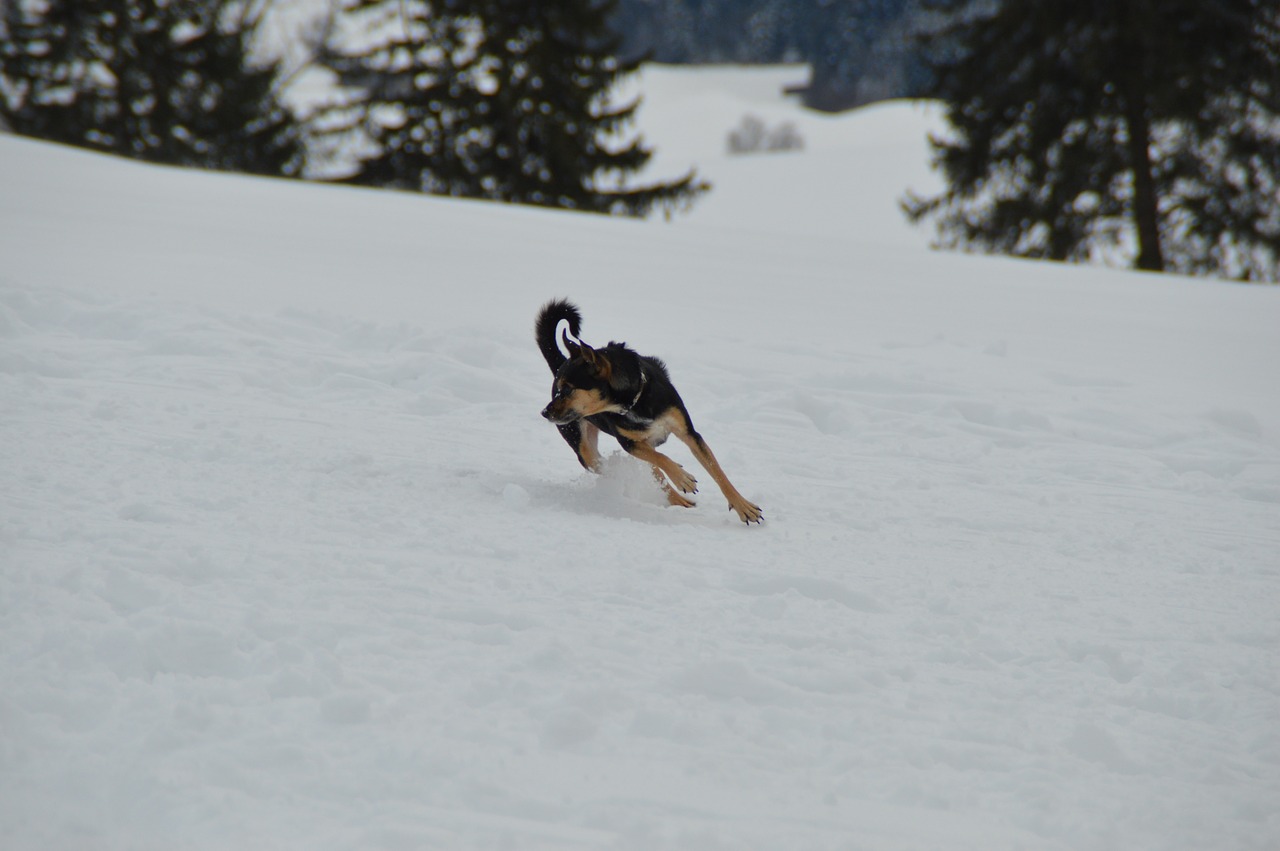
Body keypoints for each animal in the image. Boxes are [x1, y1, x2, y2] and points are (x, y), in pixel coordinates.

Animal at [535, 298, 762, 524]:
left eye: (567, 389)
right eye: (558, 388)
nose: (544, 412)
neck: (635, 400)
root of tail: (559, 362)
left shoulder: (688, 433)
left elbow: (717, 471)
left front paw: (744, 507)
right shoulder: (630, 443)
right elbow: (661, 459)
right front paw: (683, 478)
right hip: (586, 451)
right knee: (630, 465)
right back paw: (672, 496)